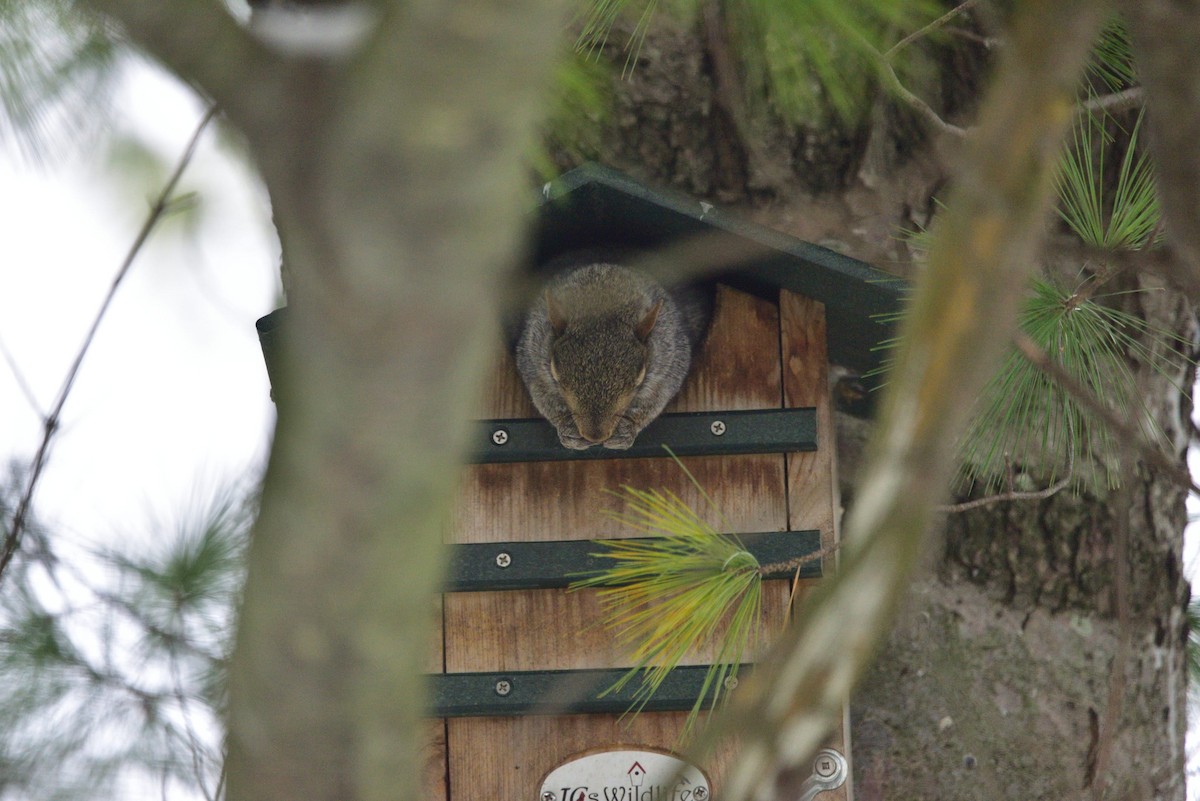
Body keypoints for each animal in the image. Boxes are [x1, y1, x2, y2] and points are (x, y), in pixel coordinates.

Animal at [515, 254, 712, 450]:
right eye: (555, 373)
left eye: (640, 378)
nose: (595, 437)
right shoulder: (533, 360)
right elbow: (543, 396)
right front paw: (566, 428)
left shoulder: (669, 361)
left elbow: (656, 398)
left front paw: (628, 429)